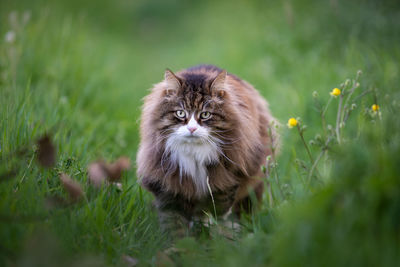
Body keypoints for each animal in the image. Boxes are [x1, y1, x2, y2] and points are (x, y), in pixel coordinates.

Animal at [137, 65, 278, 234]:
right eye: (180, 113)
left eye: (205, 114)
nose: (191, 129)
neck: (194, 154)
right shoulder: (169, 185)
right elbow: (174, 223)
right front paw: (178, 240)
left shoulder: (225, 182)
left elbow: (217, 213)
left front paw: (217, 234)